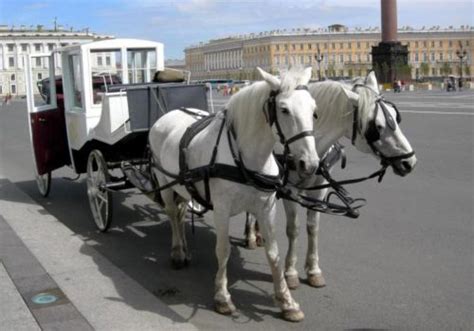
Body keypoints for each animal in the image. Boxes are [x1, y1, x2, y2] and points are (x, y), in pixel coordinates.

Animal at [148, 67, 318, 322]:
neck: (246, 157)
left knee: (180, 214)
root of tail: (167, 114)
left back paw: (185, 250)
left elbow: (274, 253)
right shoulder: (222, 209)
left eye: (314, 110)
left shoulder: (266, 207)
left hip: (183, 186)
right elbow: (223, 250)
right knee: (171, 214)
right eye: (284, 109)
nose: (310, 164)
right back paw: (177, 252)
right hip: (165, 184)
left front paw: (286, 301)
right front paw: (222, 297)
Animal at [246, 70, 416, 290]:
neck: (311, 147)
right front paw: (291, 272)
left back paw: (258, 235)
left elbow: (313, 227)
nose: (409, 162)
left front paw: (313, 270)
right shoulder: (290, 189)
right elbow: (293, 229)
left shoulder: (319, 188)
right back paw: (251, 236)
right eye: (376, 127)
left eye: (396, 117)